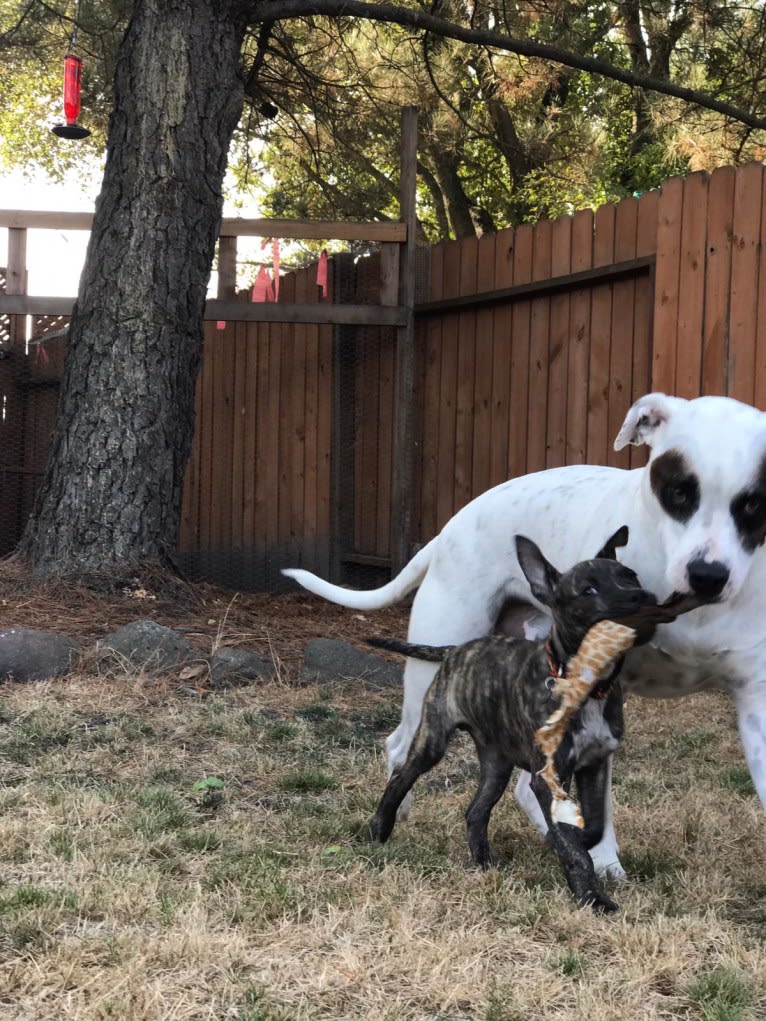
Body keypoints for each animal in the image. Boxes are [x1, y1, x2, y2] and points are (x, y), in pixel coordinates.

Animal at [365, 530, 702, 914]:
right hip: (433, 739)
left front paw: (575, 840)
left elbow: (594, 824)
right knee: (402, 776)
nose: (642, 596)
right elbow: (576, 847)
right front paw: (593, 897)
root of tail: (456, 649)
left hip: (496, 763)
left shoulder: (596, 763)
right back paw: (379, 828)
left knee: (476, 810)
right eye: (588, 590)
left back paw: (483, 862)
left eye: (629, 576)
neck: (587, 687)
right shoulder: (549, 776)